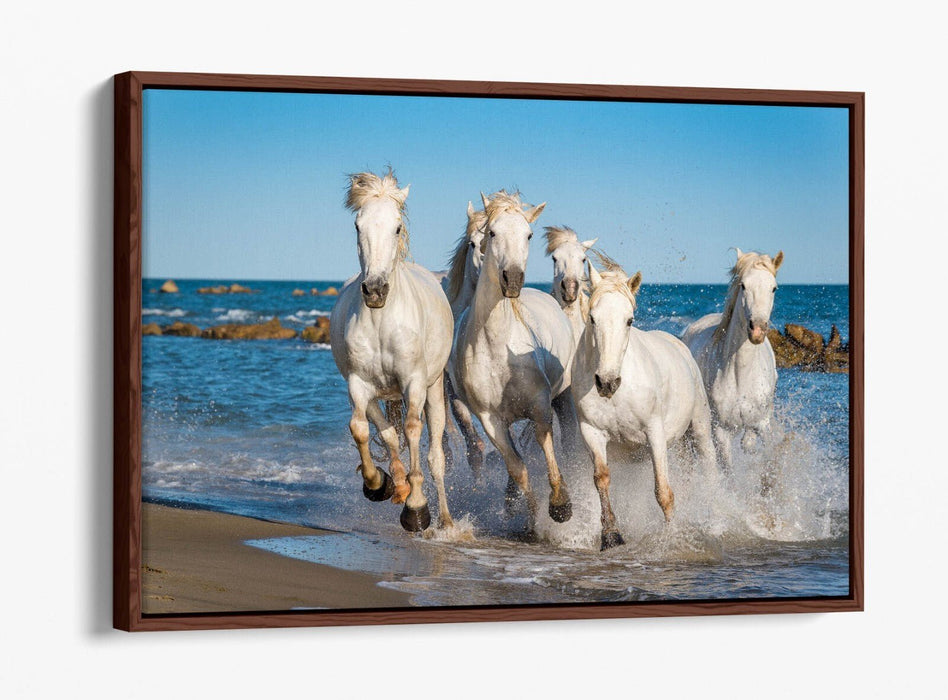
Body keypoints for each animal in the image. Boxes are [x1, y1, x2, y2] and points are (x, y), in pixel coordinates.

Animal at [329, 170, 455, 531]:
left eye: (397, 227)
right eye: (358, 226)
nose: (375, 290)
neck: (382, 321)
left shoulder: (414, 382)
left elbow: (413, 430)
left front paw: (417, 509)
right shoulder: (358, 383)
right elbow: (361, 430)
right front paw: (378, 484)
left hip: (434, 388)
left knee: (435, 455)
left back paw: (446, 521)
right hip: (376, 394)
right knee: (386, 434)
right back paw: (396, 484)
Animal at [449, 190, 576, 529]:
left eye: (528, 235)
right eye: (491, 233)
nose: (513, 279)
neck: (497, 348)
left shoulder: (540, 405)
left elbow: (545, 443)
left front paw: (561, 505)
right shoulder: (490, 420)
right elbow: (518, 467)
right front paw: (533, 519)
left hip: (565, 399)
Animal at [571, 257, 716, 550]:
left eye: (629, 320)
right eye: (592, 318)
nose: (607, 382)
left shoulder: (654, 432)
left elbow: (663, 491)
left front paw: (672, 538)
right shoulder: (591, 432)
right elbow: (601, 479)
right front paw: (611, 536)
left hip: (699, 428)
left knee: (709, 468)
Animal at [680, 249, 784, 471]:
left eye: (773, 288)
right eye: (743, 285)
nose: (758, 330)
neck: (741, 375)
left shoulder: (763, 424)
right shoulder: (721, 431)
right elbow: (729, 469)